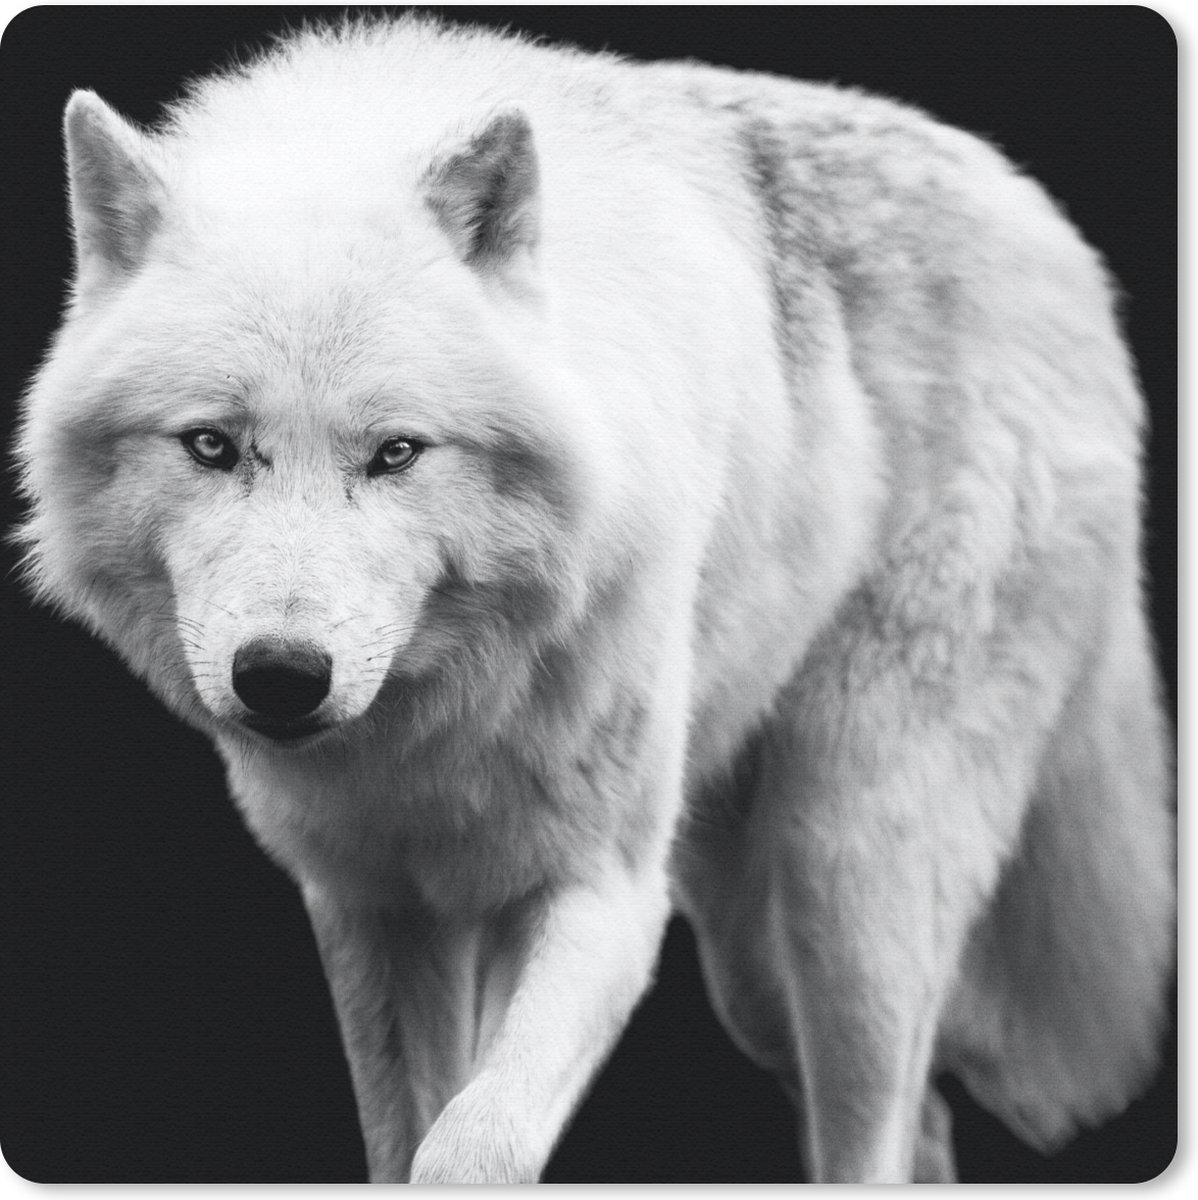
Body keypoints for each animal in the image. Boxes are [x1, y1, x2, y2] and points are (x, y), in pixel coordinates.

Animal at [15, 14, 1173, 1184]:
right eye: (211, 446)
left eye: (396, 453)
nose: (284, 679)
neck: (441, 721)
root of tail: (1047, 228)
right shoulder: (373, 907)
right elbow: (405, 1137)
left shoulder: (604, 896)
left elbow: (470, 1146)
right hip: (751, 965)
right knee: (920, 1123)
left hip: (846, 876)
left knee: (876, 1131)